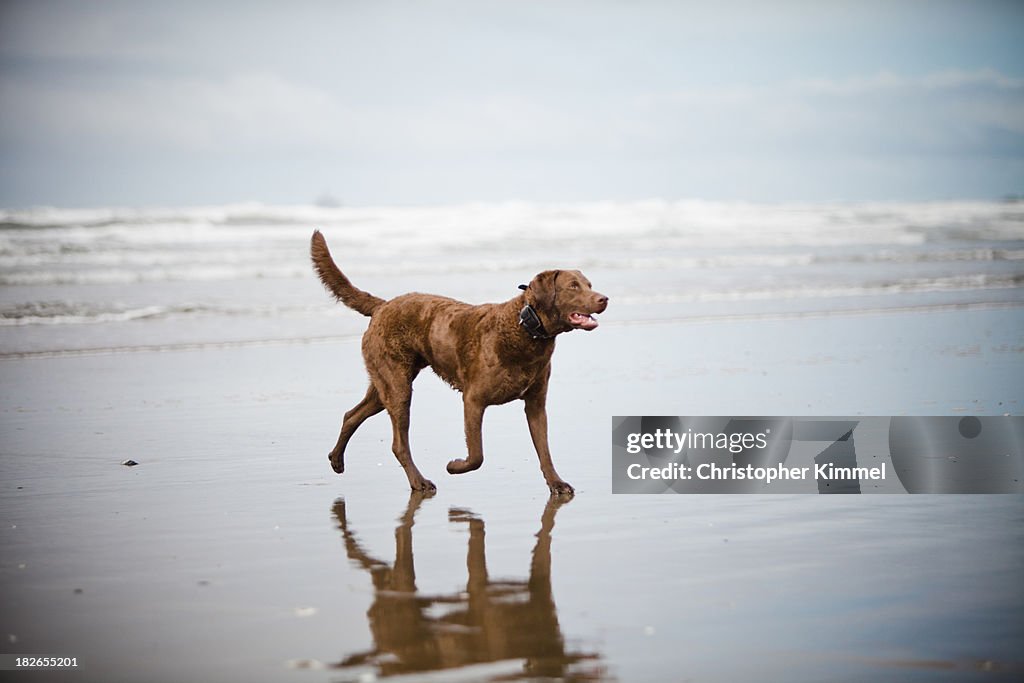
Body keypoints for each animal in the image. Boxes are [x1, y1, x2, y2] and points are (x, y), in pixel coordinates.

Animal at [307, 232, 602, 493]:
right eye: (573, 286)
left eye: (589, 284)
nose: (604, 298)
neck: (524, 328)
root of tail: (383, 305)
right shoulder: (473, 400)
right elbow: (477, 455)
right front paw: (454, 466)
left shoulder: (536, 404)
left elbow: (544, 450)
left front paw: (556, 483)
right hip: (397, 386)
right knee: (398, 443)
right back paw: (419, 481)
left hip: (385, 385)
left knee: (352, 414)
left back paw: (337, 460)